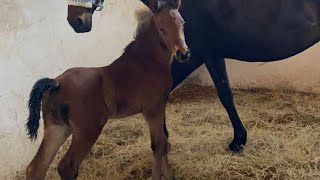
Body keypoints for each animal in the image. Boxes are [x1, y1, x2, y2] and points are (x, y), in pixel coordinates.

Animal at [25, 1, 190, 180]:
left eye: (182, 23)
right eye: (162, 28)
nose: (183, 54)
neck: (147, 61)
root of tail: (56, 83)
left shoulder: (162, 104)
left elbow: (165, 140)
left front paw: (170, 175)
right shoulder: (153, 109)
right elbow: (158, 144)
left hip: (58, 128)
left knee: (36, 168)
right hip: (87, 131)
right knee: (66, 167)